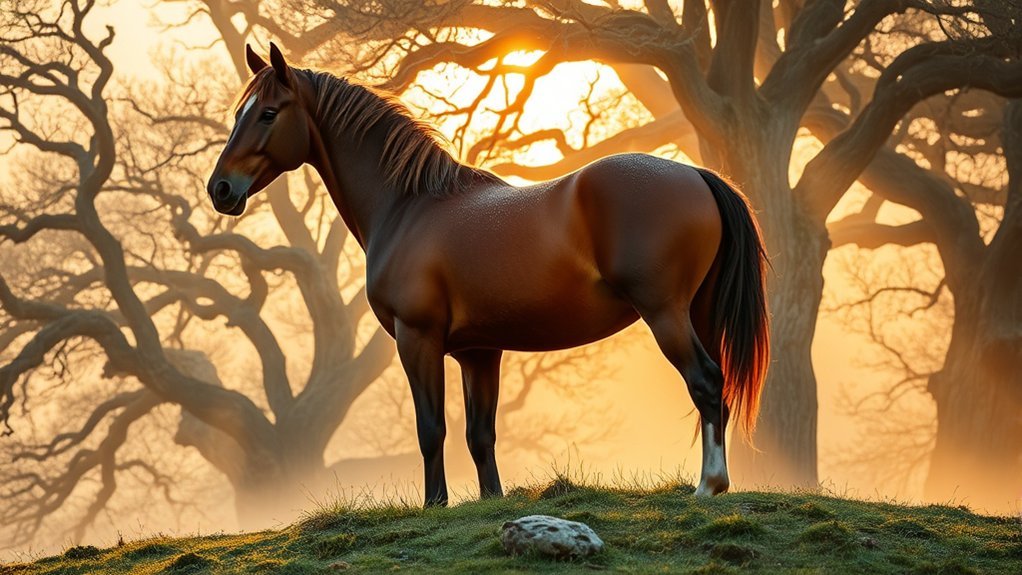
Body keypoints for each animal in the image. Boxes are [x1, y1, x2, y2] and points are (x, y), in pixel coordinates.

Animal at [208, 43, 770, 506]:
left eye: (268, 113)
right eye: (239, 113)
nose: (220, 189)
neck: (410, 205)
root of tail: (696, 174)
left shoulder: (418, 338)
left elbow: (430, 428)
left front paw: (435, 506)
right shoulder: (479, 352)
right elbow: (481, 436)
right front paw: (489, 502)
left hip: (665, 314)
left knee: (705, 381)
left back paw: (709, 485)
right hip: (697, 312)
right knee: (714, 387)